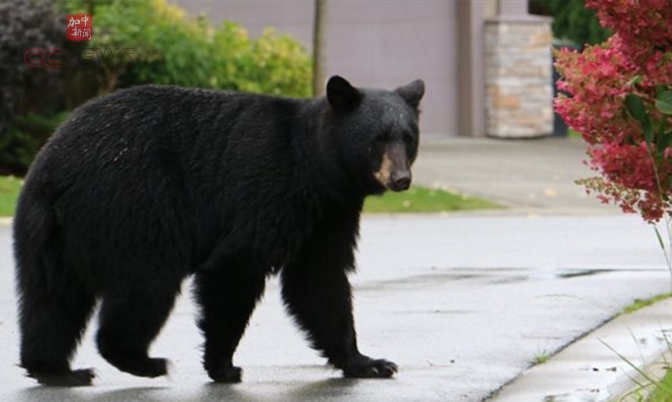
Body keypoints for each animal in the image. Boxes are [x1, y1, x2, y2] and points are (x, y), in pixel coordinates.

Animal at [14, 75, 426, 386]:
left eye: (408, 138)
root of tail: (53, 172)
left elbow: (319, 280)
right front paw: (223, 366)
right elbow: (235, 267)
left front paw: (367, 362)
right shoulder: (269, 194)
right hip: (134, 211)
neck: (317, 170)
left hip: (49, 236)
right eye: (377, 139)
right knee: (146, 287)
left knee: (50, 299)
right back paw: (144, 362)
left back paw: (55, 371)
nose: (401, 179)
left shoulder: (329, 215)